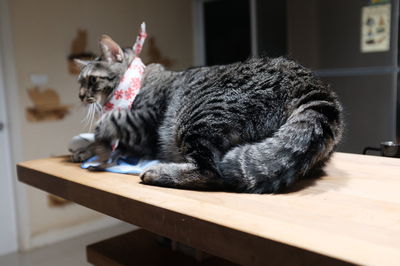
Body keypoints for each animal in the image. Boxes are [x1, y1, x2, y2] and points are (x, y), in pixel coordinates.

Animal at [74, 34, 344, 193]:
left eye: (90, 80)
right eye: (80, 81)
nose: (79, 95)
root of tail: (312, 84)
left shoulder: (146, 120)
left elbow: (114, 123)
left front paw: (98, 137)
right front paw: (85, 149)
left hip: (195, 119)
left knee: (210, 173)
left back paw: (157, 172)